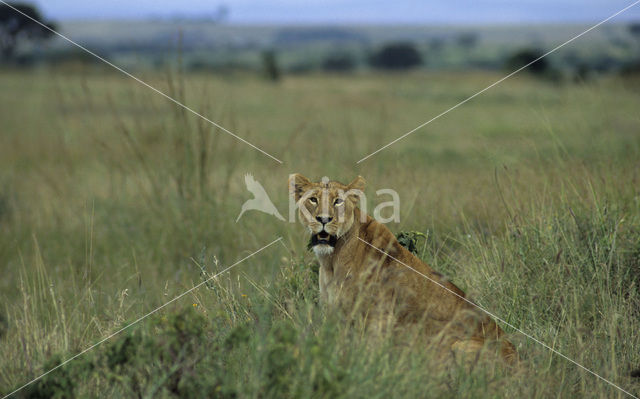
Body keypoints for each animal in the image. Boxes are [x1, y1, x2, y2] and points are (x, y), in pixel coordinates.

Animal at [288, 173, 516, 368]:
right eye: (313, 200)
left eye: (338, 201)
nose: (323, 220)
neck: (332, 261)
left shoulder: (380, 316)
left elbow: (369, 353)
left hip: (458, 345)